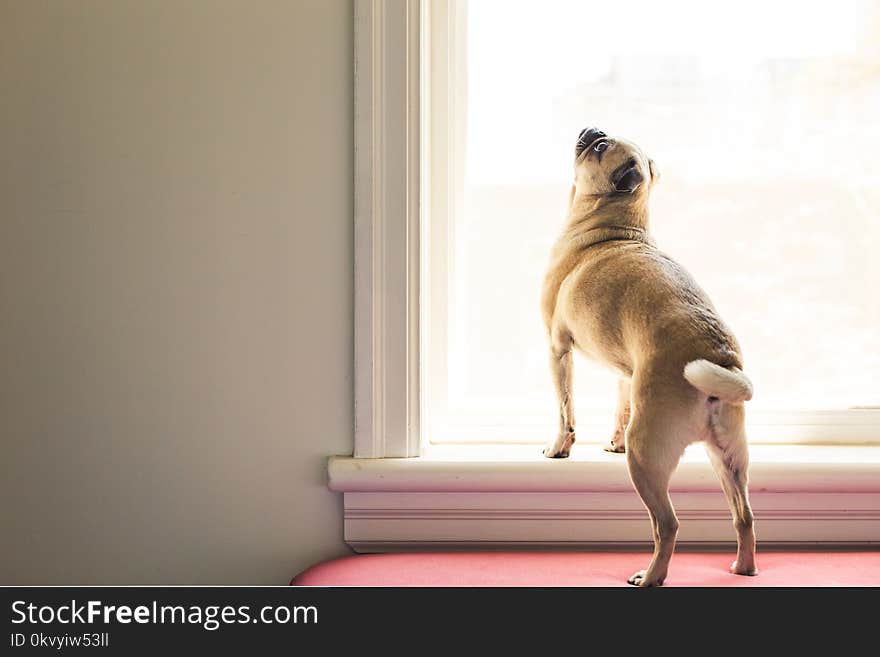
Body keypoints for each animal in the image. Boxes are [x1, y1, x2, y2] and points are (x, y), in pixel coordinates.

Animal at [544, 127, 756, 584]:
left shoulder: (557, 350)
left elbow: (565, 410)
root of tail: (717, 354)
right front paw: (613, 442)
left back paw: (651, 576)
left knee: (667, 524)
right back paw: (743, 567)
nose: (592, 130)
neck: (618, 227)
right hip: (728, 458)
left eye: (601, 147)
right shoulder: (627, 374)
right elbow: (621, 407)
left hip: (646, 458)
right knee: (744, 516)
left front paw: (558, 448)